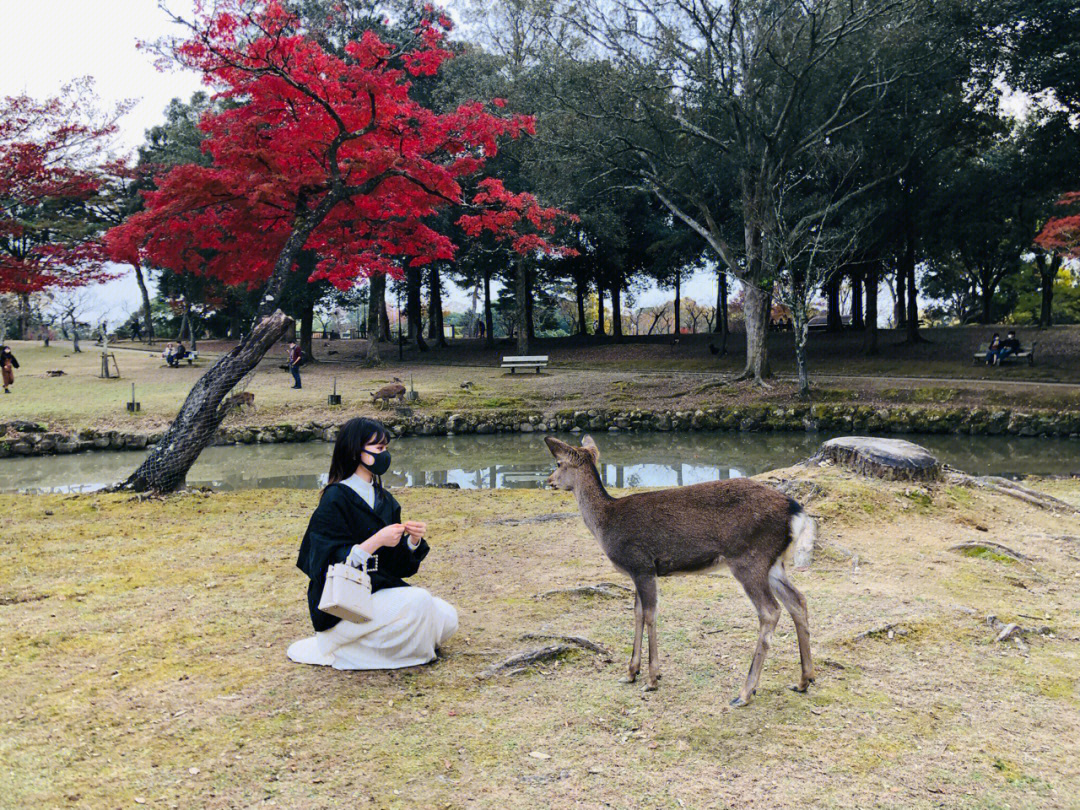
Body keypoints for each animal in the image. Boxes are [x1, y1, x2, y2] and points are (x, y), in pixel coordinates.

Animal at [544, 434, 812, 708]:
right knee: (798, 600)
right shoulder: (637, 571)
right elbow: (637, 614)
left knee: (770, 611)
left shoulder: (641, 564)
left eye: (558, 463)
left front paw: (652, 678)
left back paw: (745, 693)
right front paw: (631, 672)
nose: (549, 481)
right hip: (774, 563)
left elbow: (650, 615)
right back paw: (804, 680)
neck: (606, 523)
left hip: (749, 558)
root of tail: (796, 511)